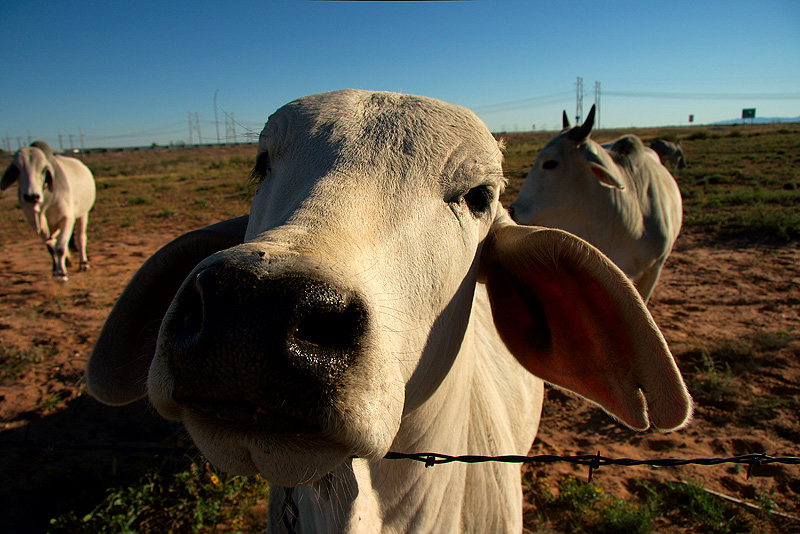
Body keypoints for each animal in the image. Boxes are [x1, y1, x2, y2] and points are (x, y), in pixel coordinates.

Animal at [1, 140, 96, 282]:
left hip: (83, 214)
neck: (46, 200)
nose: (31, 196)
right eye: (17, 169)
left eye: (43, 170)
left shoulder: (67, 218)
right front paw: (56, 269)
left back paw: (83, 263)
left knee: (81, 238)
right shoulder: (36, 224)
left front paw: (62, 273)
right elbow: (51, 246)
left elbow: (60, 247)